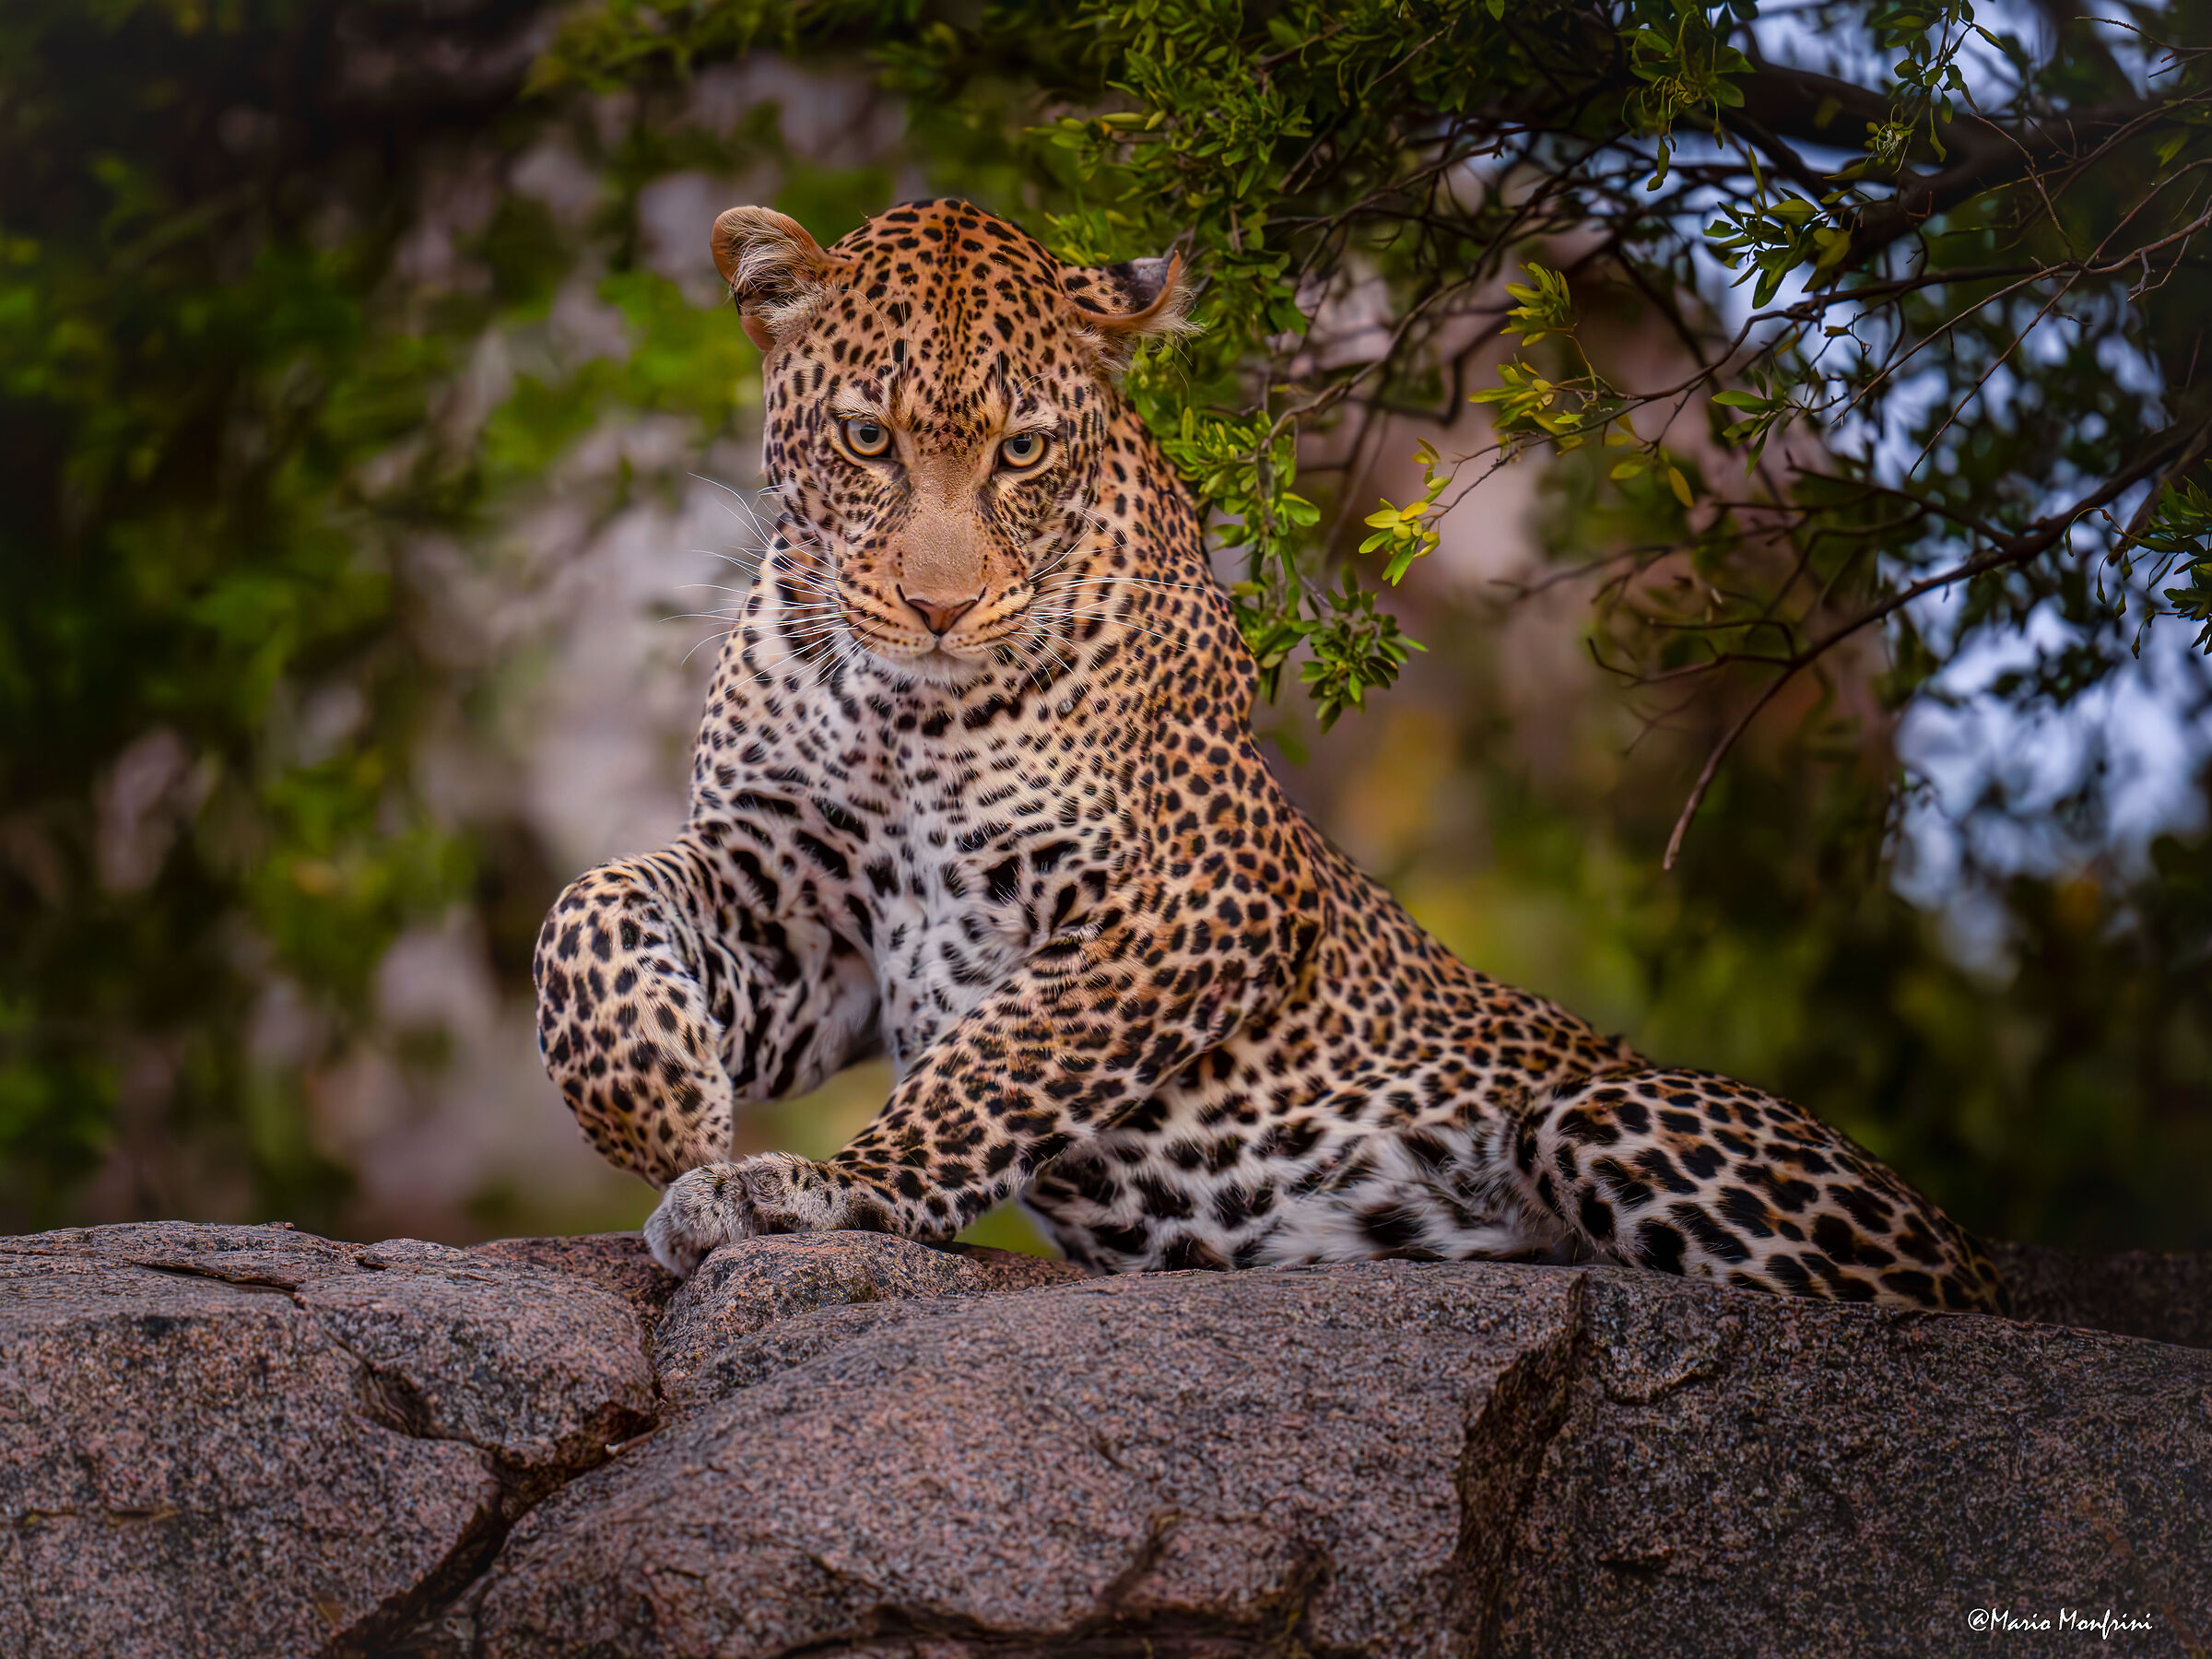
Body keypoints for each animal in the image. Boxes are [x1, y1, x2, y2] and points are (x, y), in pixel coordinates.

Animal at [530, 196, 2009, 1316]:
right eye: (865, 437)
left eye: (1023, 451)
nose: (940, 608)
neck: (903, 710)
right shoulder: (805, 925)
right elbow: (587, 907)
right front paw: (664, 1112)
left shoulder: (1207, 894)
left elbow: (999, 1062)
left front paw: (840, 1187)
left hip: (1609, 1115)